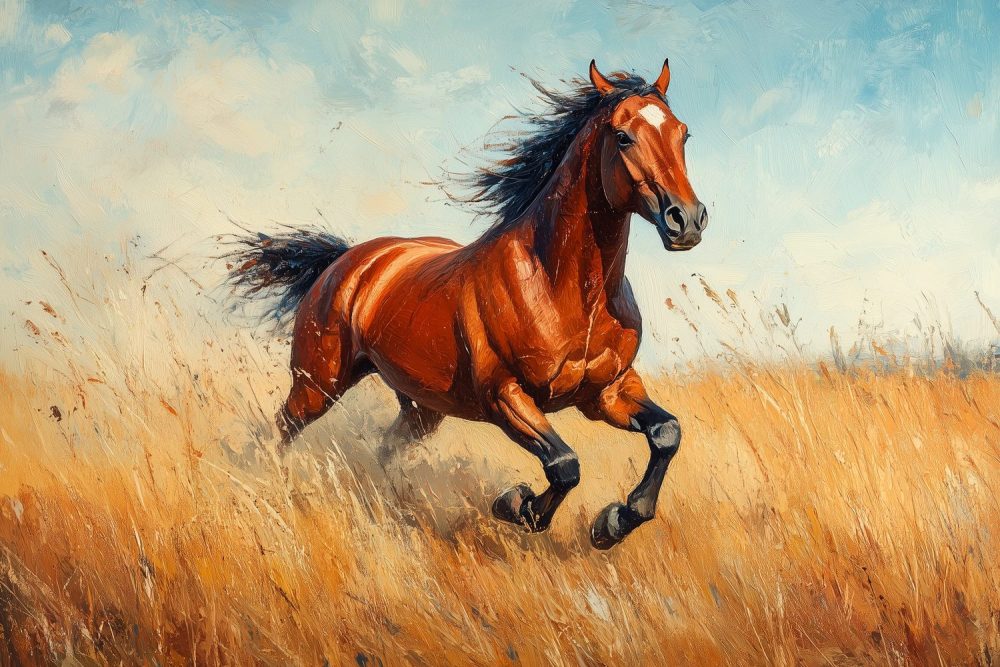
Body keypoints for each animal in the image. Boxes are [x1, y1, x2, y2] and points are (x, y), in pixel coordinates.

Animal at [227, 59, 708, 549]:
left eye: (683, 133)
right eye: (623, 136)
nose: (686, 220)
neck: (569, 293)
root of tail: (348, 260)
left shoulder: (607, 392)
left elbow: (667, 433)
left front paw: (613, 522)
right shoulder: (504, 396)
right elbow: (564, 465)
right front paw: (516, 504)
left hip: (421, 407)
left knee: (385, 447)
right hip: (317, 384)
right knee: (283, 428)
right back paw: (273, 482)